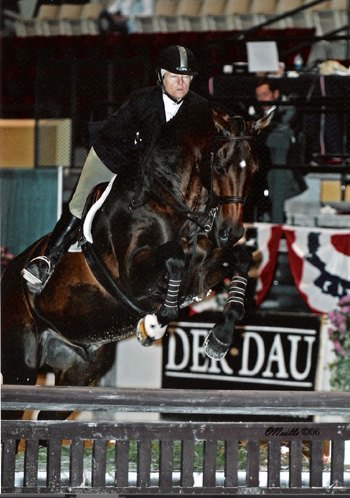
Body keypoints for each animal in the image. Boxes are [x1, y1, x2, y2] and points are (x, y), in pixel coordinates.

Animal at [0, 107, 274, 406]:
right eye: (220, 167)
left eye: (256, 170)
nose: (230, 232)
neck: (171, 200)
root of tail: (7, 274)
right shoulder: (132, 278)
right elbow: (176, 257)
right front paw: (154, 324)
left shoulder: (201, 273)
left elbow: (241, 258)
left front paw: (220, 339)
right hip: (21, 366)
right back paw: (38, 270)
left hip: (78, 371)